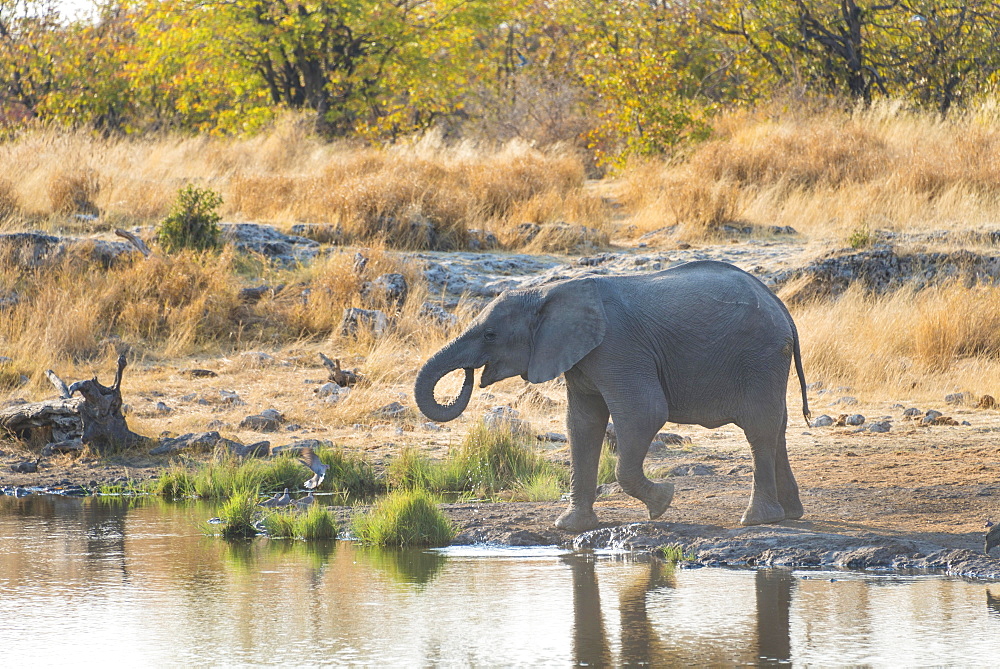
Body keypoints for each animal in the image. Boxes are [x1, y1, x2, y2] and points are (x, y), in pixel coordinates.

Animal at [414, 258, 812, 528]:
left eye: (491, 335)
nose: (469, 377)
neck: (547, 292)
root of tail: (781, 306)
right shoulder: (580, 357)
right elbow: (582, 425)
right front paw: (570, 526)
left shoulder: (617, 348)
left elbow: (644, 413)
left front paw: (662, 503)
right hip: (768, 361)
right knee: (777, 428)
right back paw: (790, 514)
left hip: (759, 356)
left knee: (759, 428)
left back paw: (757, 520)